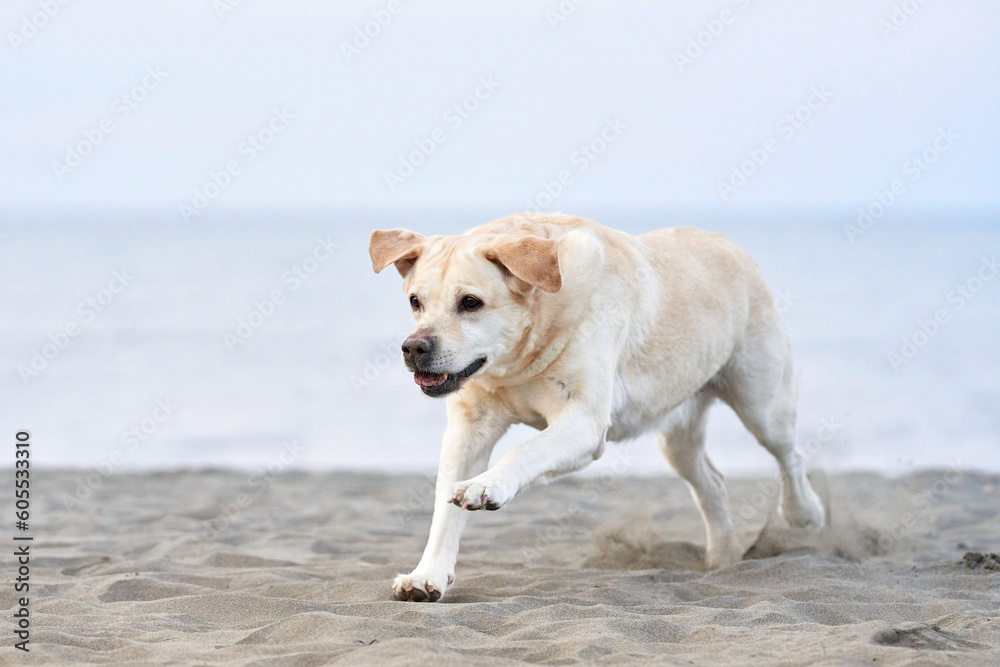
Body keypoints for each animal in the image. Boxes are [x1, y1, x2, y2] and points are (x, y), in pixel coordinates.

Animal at [372, 214, 824, 604]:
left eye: (470, 302)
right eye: (415, 301)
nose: (414, 347)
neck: (520, 360)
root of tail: (725, 241)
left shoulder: (585, 422)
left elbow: (525, 450)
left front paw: (487, 486)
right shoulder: (470, 427)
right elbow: (444, 509)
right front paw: (428, 575)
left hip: (761, 403)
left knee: (789, 455)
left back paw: (804, 514)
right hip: (678, 436)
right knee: (711, 482)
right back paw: (723, 557)